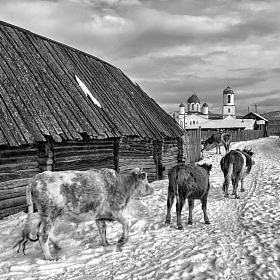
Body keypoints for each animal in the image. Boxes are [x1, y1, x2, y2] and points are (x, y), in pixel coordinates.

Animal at [14, 166, 153, 260]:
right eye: (145, 180)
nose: (152, 189)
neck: (122, 185)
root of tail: (36, 177)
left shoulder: (100, 216)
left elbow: (102, 230)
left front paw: (106, 244)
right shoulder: (116, 211)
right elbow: (126, 223)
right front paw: (121, 240)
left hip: (46, 216)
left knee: (40, 232)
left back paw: (58, 246)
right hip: (50, 215)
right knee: (43, 236)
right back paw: (50, 258)